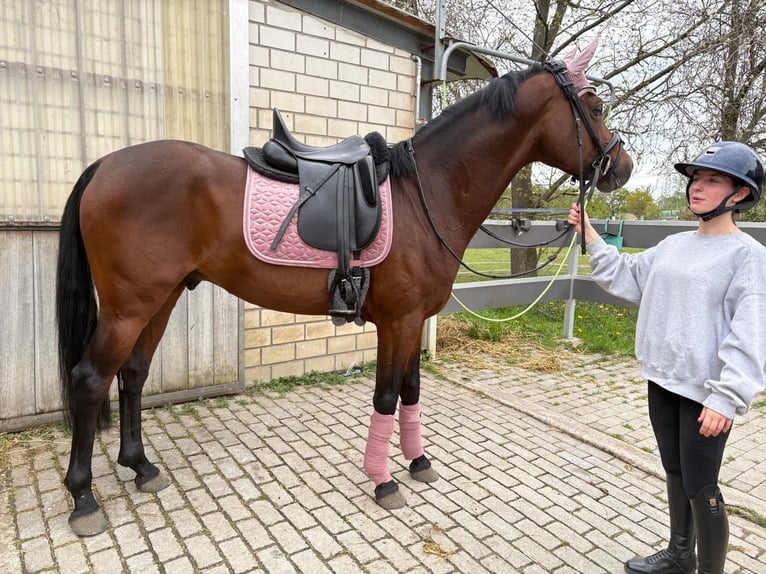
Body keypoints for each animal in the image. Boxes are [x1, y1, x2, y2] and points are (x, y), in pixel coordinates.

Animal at [55, 50, 632, 536]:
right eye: (595, 107)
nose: (622, 167)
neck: (427, 193)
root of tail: (104, 166)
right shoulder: (398, 321)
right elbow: (386, 396)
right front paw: (383, 481)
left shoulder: (413, 321)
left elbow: (411, 392)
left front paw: (418, 462)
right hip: (129, 307)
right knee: (89, 381)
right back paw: (83, 500)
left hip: (161, 297)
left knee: (132, 375)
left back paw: (141, 467)